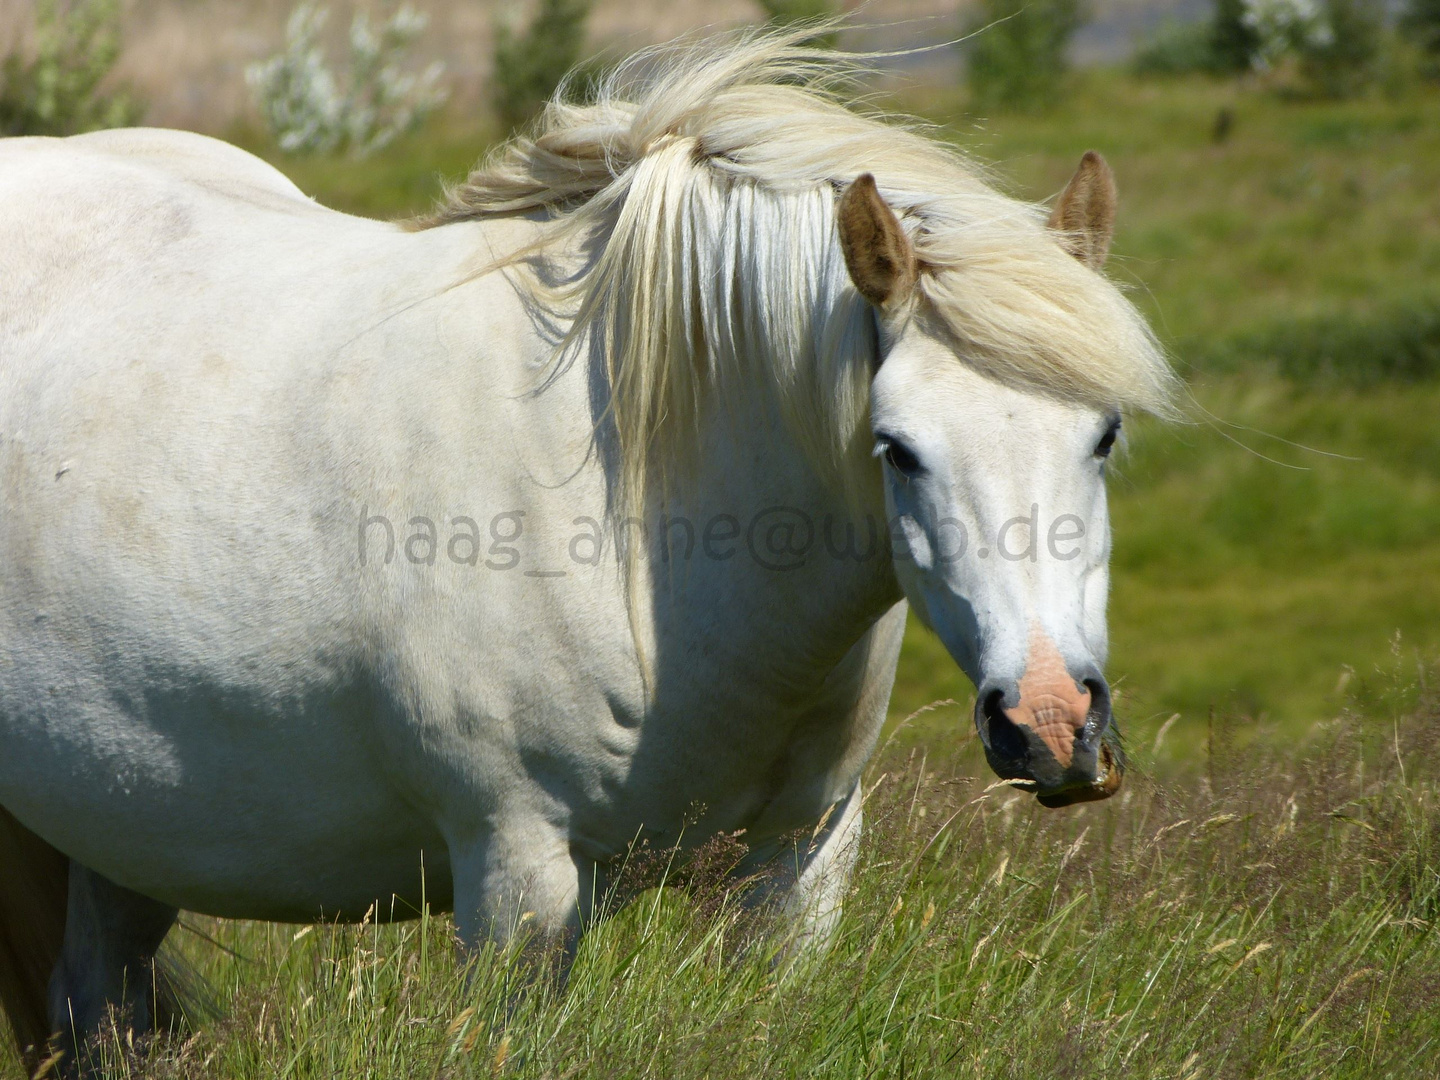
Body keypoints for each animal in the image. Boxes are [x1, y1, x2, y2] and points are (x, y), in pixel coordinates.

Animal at [0, 29, 1169, 1071]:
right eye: (897, 449)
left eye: (1105, 434)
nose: (1051, 723)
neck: (643, 535)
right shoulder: (520, 878)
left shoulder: (798, 867)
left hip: (123, 834)